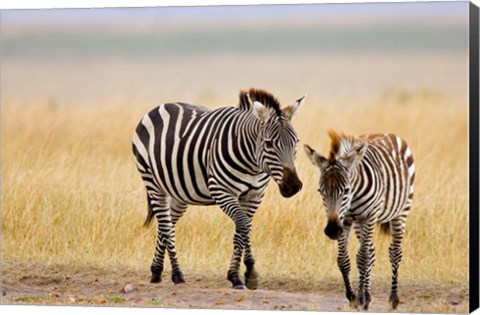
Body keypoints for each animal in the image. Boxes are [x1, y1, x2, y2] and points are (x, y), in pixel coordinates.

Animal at [131, 87, 304, 290]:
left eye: (296, 142)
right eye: (268, 143)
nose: (292, 186)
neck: (252, 164)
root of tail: (160, 106)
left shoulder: (254, 196)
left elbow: (245, 228)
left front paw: (246, 273)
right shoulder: (222, 191)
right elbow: (242, 225)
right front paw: (239, 275)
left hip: (179, 193)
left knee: (166, 225)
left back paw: (157, 271)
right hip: (152, 182)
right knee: (166, 225)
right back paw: (177, 274)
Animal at [306, 129, 414, 312]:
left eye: (346, 190)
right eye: (320, 191)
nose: (332, 230)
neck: (353, 197)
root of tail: (387, 133)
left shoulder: (369, 216)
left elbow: (363, 257)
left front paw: (361, 297)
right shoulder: (345, 220)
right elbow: (344, 259)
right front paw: (353, 297)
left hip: (400, 211)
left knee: (394, 252)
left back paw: (393, 299)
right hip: (359, 223)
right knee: (370, 250)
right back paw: (367, 295)